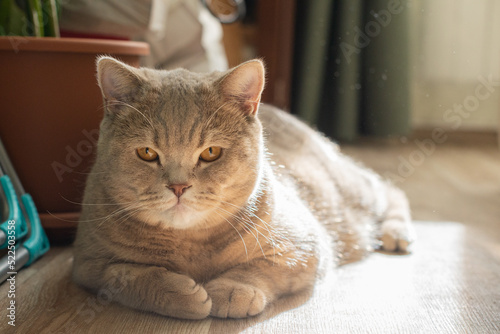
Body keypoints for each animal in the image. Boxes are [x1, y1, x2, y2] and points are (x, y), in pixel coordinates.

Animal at [71, 56, 414, 320]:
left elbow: (261, 267)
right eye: (146, 153)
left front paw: (232, 291)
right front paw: (177, 292)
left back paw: (397, 234)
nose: (179, 186)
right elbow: (124, 274)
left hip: (351, 193)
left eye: (211, 153)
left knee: (389, 188)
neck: (190, 247)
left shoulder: (306, 245)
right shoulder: (87, 264)